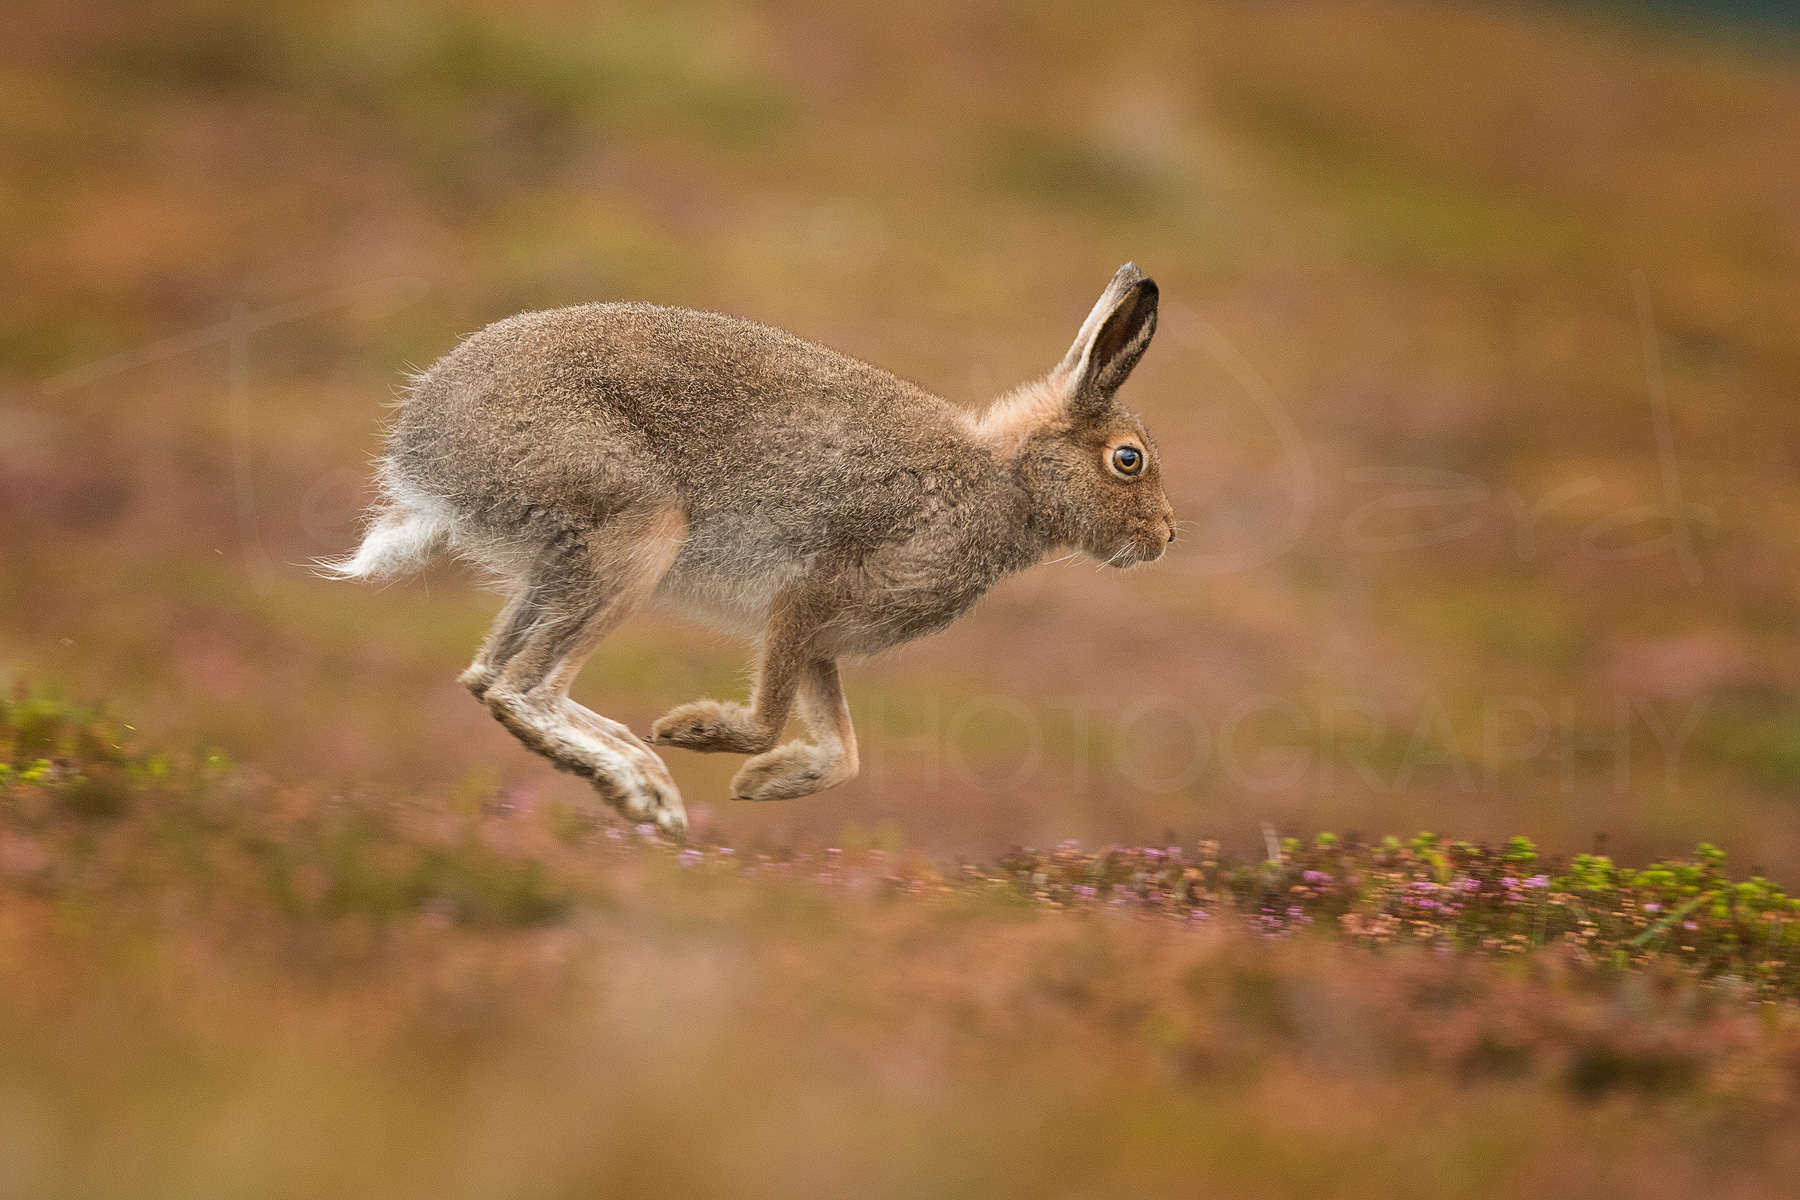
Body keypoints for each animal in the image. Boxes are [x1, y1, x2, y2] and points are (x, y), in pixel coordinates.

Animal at [321, 263, 1173, 836]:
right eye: (1127, 460)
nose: (1165, 538)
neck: (1012, 484)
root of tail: (423, 451)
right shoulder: (809, 597)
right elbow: (770, 719)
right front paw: (702, 732)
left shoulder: (823, 641)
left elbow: (845, 752)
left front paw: (765, 784)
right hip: (640, 537)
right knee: (523, 690)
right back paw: (636, 783)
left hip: (560, 566)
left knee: (490, 678)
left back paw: (645, 780)